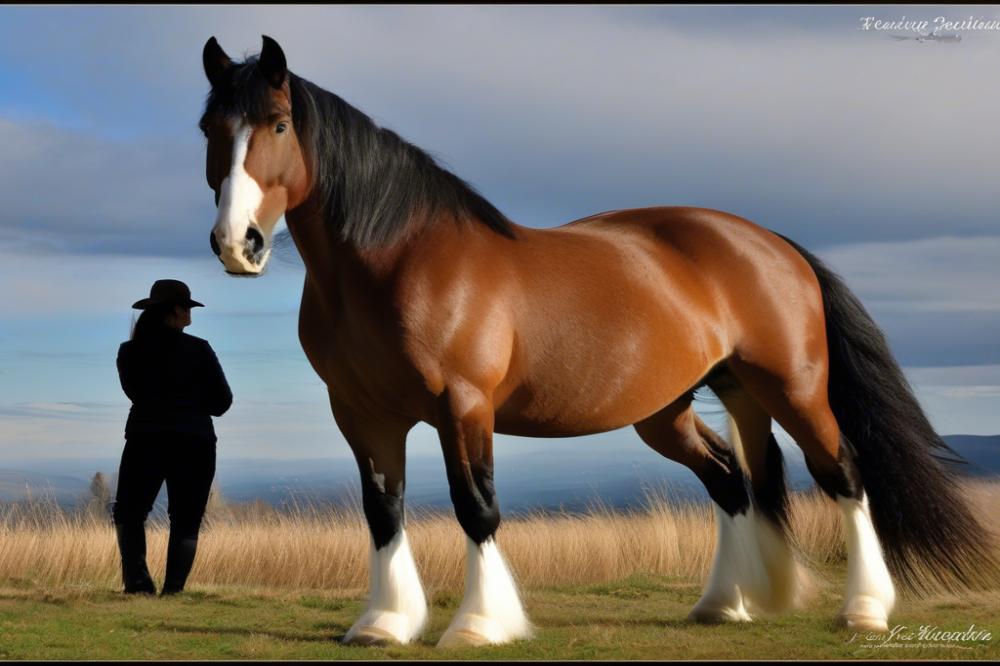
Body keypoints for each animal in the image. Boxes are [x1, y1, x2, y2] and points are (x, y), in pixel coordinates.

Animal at [199, 35, 996, 644]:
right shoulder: (363, 415)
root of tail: (771, 242)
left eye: (277, 124)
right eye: (210, 128)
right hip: (677, 407)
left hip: (794, 388)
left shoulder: (464, 407)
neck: (400, 260)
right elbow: (383, 511)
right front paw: (384, 623)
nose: (238, 245)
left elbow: (476, 507)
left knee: (844, 473)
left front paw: (481, 624)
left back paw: (863, 610)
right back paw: (725, 605)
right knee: (732, 480)